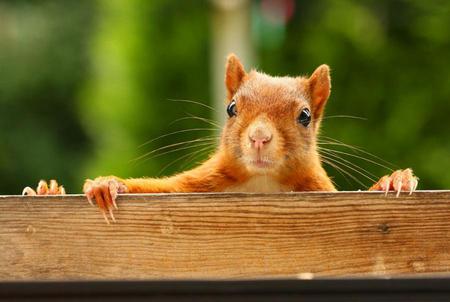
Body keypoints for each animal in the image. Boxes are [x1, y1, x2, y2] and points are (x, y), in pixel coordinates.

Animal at [23, 54, 418, 223]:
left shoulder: (318, 189)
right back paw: (48, 191)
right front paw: (107, 184)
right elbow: (154, 187)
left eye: (305, 116)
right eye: (231, 107)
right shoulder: (198, 185)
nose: (259, 137)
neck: (261, 183)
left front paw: (393, 180)